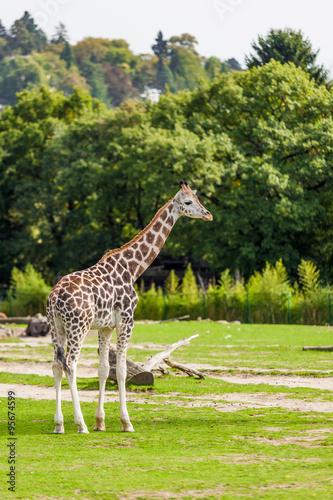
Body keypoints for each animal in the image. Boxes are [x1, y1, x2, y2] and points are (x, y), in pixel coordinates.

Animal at [46, 180, 213, 434]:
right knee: (71, 366)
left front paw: (100, 422)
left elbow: (105, 369)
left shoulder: (105, 326)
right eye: (188, 201)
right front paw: (126, 422)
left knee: (56, 365)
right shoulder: (127, 320)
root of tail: (54, 297)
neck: (133, 269)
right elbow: (124, 370)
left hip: (57, 327)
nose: (208, 214)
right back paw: (80, 424)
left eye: (197, 198)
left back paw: (59, 424)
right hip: (78, 327)